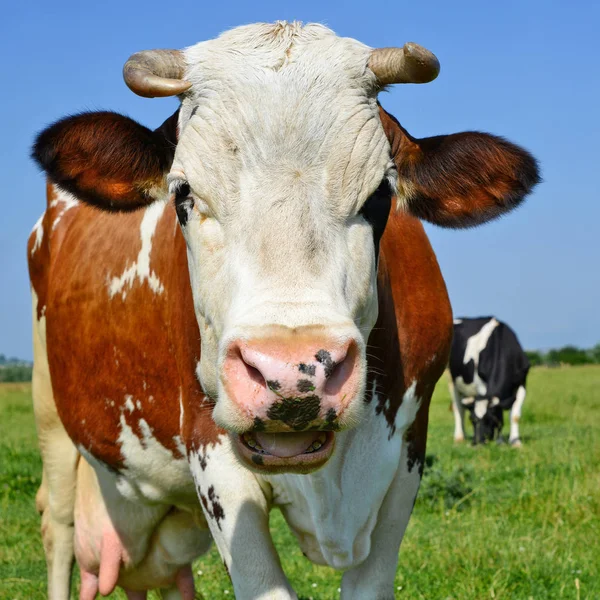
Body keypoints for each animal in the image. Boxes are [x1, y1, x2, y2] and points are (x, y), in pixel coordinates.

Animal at [450, 316, 528, 448]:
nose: (476, 443)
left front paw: (514, 442)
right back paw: (460, 437)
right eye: (472, 419)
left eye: (490, 419)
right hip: (452, 380)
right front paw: (501, 441)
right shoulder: (482, 386)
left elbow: (513, 416)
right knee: (459, 408)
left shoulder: (521, 383)